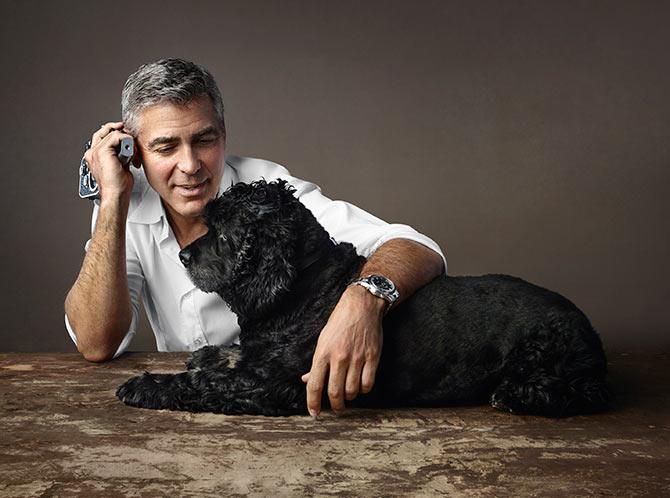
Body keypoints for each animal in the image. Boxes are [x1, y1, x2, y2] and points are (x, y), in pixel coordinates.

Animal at [117, 179, 616, 416]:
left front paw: (148, 384)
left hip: (553, 360)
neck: (303, 291)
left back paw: (517, 394)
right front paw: (210, 354)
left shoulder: (280, 386)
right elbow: (231, 358)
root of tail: (587, 326)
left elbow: (206, 385)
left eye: (223, 234)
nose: (183, 254)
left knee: (585, 393)